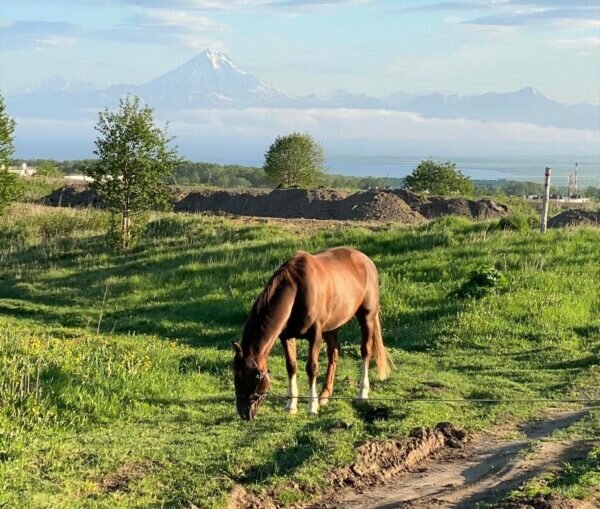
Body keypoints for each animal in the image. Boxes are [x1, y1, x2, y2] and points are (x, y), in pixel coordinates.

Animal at [232, 244, 392, 418]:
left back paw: (362, 395)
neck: (296, 292)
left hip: (367, 317)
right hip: (332, 326)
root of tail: (366, 260)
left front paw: (312, 406)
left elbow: (312, 368)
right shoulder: (287, 337)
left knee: (365, 352)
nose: (244, 413)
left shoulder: (315, 335)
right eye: (235, 375)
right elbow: (291, 366)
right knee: (334, 352)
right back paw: (325, 395)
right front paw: (291, 405)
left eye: (254, 377)